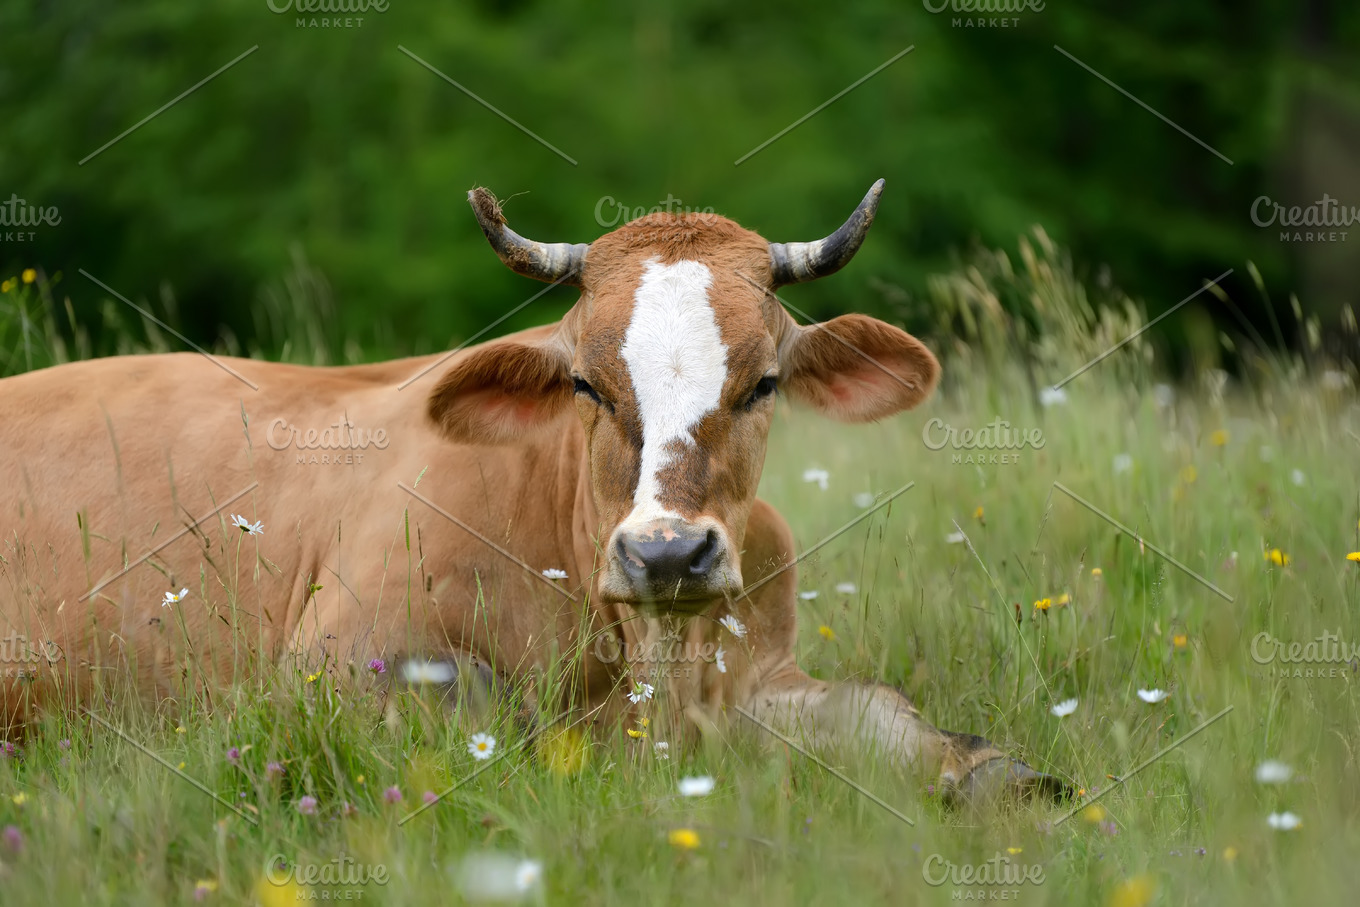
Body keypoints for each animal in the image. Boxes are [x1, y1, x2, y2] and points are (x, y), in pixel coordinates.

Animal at [0, 180, 1060, 805]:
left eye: (764, 383)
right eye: (586, 384)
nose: (668, 553)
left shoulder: (765, 670)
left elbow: (887, 715)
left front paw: (1000, 773)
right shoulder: (335, 664)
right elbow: (494, 721)